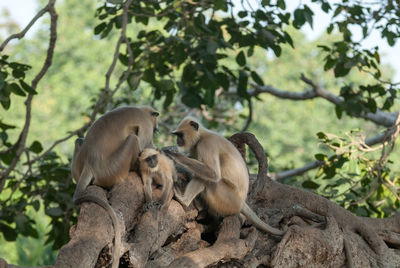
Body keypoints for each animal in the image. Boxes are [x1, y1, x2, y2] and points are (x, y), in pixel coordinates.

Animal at [71, 105, 159, 268]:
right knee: (133, 139)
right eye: (155, 123)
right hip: (115, 168)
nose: (157, 128)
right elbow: (145, 146)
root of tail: (89, 163)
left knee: (78, 140)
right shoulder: (145, 123)